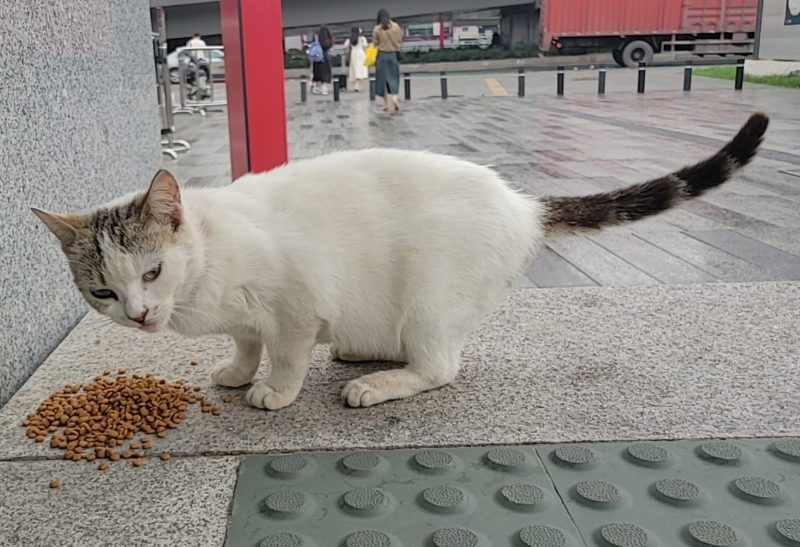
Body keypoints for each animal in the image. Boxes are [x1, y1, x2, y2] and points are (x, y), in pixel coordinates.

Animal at [32, 112, 768, 412]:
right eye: (103, 292)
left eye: (152, 273)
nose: (140, 315)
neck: (207, 272)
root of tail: (522, 204)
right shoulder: (247, 316)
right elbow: (246, 340)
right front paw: (240, 370)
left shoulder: (295, 303)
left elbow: (287, 351)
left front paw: (274, 388)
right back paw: (361, 352)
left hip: (431, 297)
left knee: (440, 365)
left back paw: (378, 382)